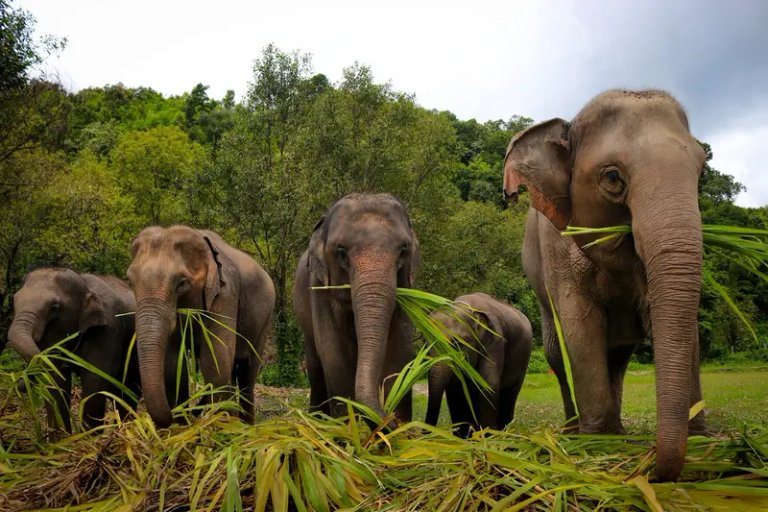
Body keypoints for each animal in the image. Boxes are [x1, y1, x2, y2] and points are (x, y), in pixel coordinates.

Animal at [7, 267, 140, 433]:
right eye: (14, 300)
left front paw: (88, 437)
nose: (20, 382)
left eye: (54, 307)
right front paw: (62, 438)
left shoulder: (108, 330)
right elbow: (55, 380)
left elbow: (95, 378)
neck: (85, 284)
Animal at [126, 225, 275, 427]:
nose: (173, 415)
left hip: (265, 320)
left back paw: (246, 426)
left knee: (247, 371)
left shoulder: (226, 294)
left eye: (181, 283)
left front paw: (220, 426)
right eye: (130, 281)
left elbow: (215, 360)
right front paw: (181, 426)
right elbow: (173, 363)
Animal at [293, 193, 419, 423]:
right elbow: (332, 351)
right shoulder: (318, 286)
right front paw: (348, 425)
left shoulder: (406, 286)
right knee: (315, 366)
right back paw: (317, 419)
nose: (387, 419)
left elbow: (400, 349)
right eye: (341, 252)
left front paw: (399, 425)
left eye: (403, 251)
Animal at [425, 292, 532, 438]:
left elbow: (488, 383)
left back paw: (505, 433)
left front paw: (488, 437)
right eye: (427, 344)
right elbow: (455, 389)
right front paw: (462, 438)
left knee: (510, 394)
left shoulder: (495, 341)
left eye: (457, 344)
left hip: (523, 361)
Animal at [503, 89, 707, 481]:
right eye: (613, 177)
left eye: (701, 170)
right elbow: (580, 327)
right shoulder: (557, 245)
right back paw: (574, 432)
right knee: (558, 353)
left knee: (618, 358)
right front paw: (598, 445)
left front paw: (705, 442)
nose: (653, 472)